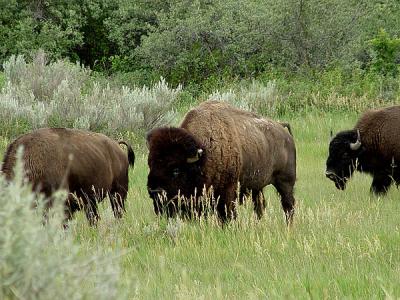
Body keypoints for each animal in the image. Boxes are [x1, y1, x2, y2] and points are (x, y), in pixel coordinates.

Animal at [147, 101, 296, 223]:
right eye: (150, 165)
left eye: (176, 170)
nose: (154, 190)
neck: (204, 153)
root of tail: (284, 132)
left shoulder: (228, 191)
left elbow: (227, 214)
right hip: (257, 187)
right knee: (260, 205)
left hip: (285, 182)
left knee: (288, 205)